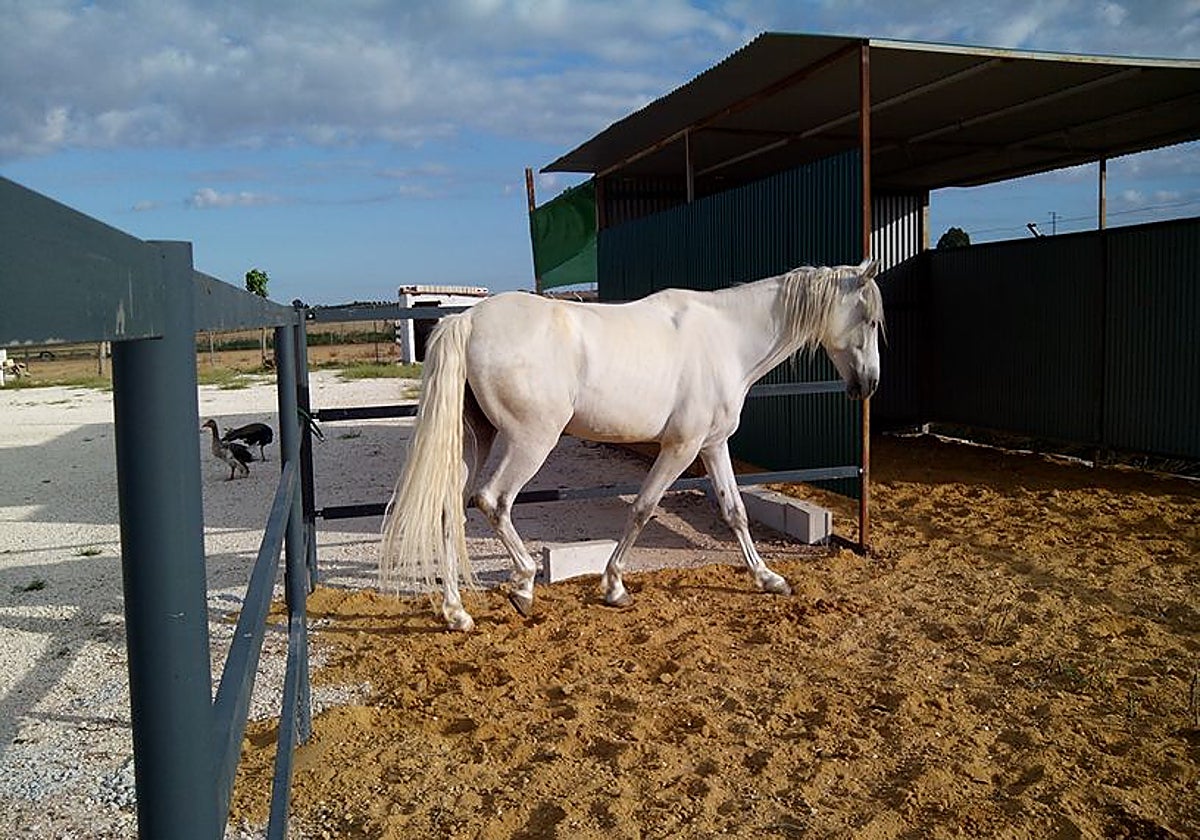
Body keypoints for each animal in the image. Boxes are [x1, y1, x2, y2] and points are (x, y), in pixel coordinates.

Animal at [380, 259, 883, 631]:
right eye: (869, 319)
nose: (869, 384)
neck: (727, 338)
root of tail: (466, 319)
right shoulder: (680, 448)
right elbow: (643, 508)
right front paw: (615, 587)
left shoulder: (713, 446)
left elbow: (734, 511)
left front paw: (768, 578)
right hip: (530, 441)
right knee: (493, 501)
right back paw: (522, 586)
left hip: (475, 441)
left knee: (450, 510)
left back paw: (456, 613)